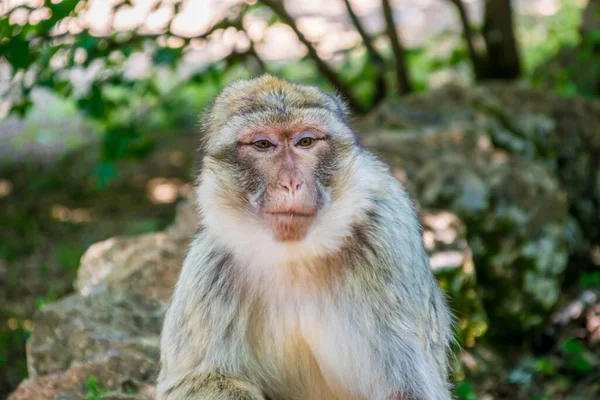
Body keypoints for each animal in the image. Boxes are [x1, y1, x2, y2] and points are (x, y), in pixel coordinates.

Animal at [157, 75, 452, 400]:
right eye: (263, 144)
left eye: (305, 142)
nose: (291, 183)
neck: (295, 256)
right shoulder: (210, 267)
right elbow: (194, 380)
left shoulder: (387, 238)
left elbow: (407, 387)